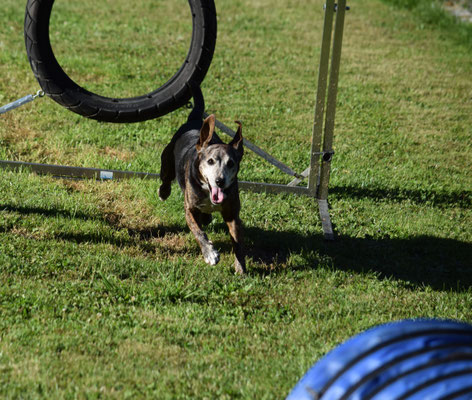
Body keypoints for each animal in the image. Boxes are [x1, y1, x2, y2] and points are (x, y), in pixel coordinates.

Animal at [159, 83, 245, 274]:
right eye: (210, 161)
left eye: (231, 163)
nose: (220, 181)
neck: (208, 191)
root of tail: (195, 120)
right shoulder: (190, 209)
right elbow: (198, 232)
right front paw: (210, 253)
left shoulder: (232, 213)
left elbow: (237, 240)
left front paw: (240, 267)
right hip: (167, 159)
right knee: (166, 178)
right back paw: (163, 192)